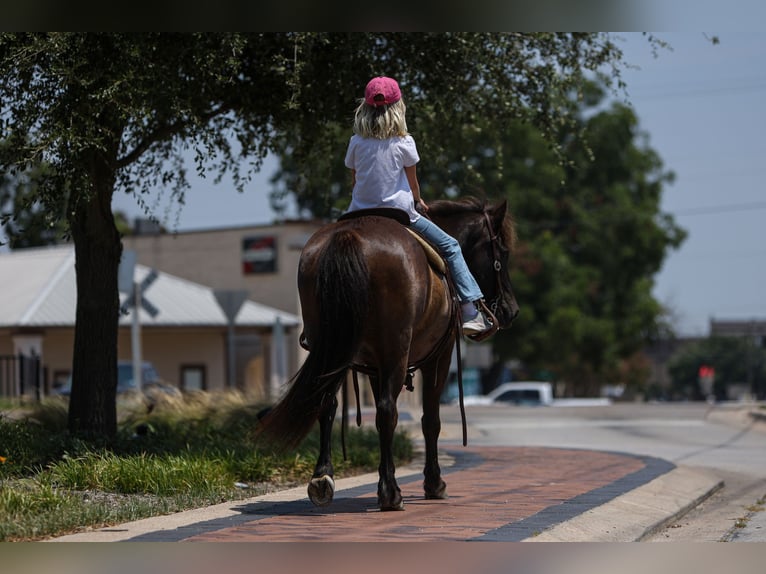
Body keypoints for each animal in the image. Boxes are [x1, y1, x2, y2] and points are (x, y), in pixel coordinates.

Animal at [260, 199, 520, 512]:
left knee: (328, 404)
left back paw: (323, 479)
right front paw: (434, 483)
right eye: (502, 252)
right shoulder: (438, 357)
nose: (511, 310)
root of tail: (348, 236)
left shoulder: (375, 365)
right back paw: (391, 494)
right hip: (394, 349)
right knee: (386, 410)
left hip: (333, 349)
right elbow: (430, 420)